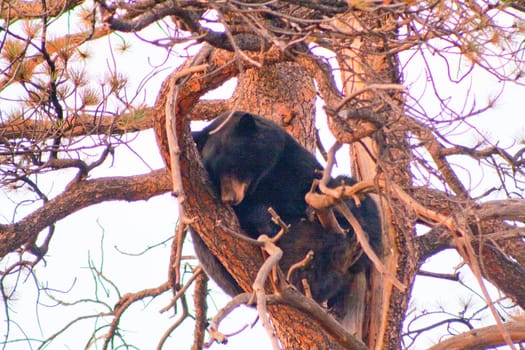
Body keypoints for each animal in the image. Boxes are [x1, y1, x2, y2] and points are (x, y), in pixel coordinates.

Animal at [190, 110, 378, 308]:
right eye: (214, 174)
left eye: (233, 166)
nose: (229, 199)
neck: (263, 180)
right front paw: (267, 221)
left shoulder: (290, 160)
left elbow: (316, 184)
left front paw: (333, 209)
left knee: (360, 198)